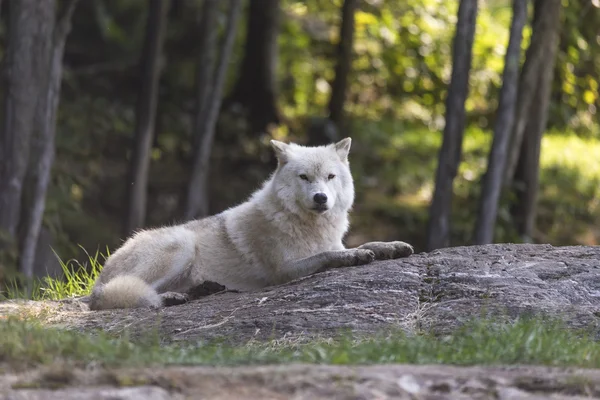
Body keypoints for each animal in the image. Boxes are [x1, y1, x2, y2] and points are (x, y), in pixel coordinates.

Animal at [89, 138, 414, 310]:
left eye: (331, 177)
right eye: (304, 177)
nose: (321, 198)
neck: (306, 225)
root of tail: (100, 275)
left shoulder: (333, 241)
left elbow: (366, 243)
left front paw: (392, 247)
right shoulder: (283, 271)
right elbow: (329, 255)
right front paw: (355, 256)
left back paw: (199, 291)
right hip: (181, 244)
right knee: (118, 295)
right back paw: (169, 297)